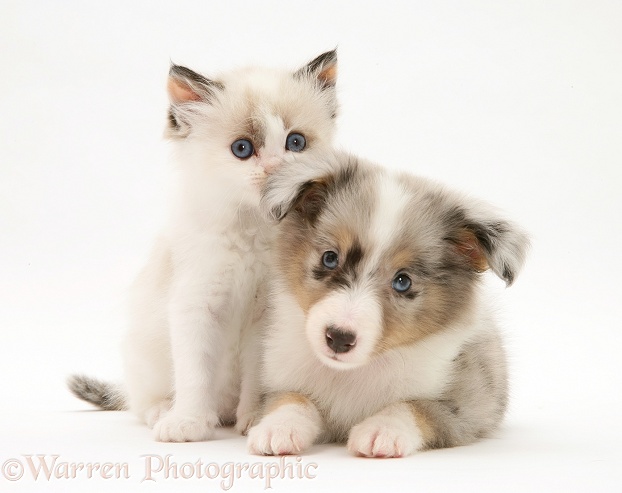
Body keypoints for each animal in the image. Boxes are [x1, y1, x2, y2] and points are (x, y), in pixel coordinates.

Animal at [68, 51, 338, 442]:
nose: (275, 169)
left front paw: (255, 417)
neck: (250, 231)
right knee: (139, 400)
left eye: (296, 143)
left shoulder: (266, 315)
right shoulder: (193, 303)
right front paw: (187, 422)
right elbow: (194, 372)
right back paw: (166, 411)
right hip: (142, 350)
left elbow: (258, 373)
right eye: (242, 149)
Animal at [246, 151, 528, 458]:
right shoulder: (278, 380)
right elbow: (293, 398)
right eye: (330, 258)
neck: (353, 373)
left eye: (403, 281)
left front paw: (381, 430)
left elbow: (416, 406)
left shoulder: (466, 406)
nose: (339, 338)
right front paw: (279, 427)